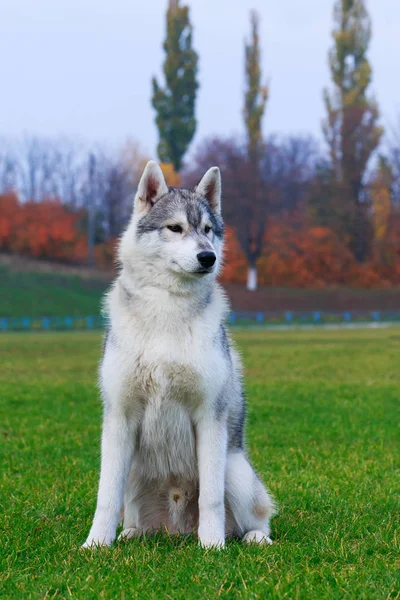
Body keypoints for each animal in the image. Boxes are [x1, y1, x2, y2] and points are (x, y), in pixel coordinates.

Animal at [81, 161, 276, 548]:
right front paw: (95, 545)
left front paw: (212, 547)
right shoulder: (119, 418)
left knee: (255, 520)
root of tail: (177, 529)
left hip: (235, 469)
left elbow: (211, 497)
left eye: (207, 230)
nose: (208, 256)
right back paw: (130, 533)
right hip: (134, 470)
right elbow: (106, 495)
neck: (166, 306)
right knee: (131, 512)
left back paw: (251, 538)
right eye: (175, 228)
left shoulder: (209, 416)